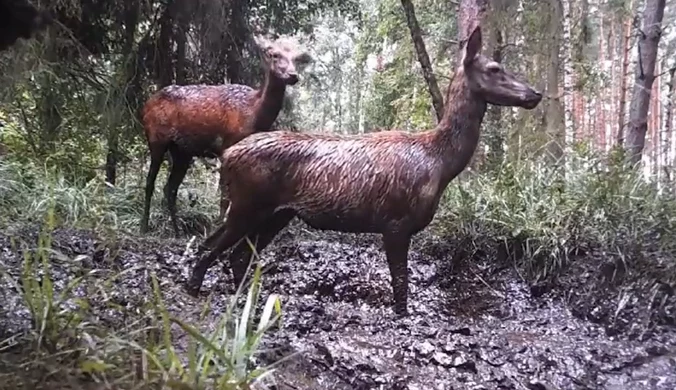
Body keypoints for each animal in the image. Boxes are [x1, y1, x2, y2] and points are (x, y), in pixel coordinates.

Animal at [141, 35, 314, 235]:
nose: (293, 76)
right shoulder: (227, 145)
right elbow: (225, 195)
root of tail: (145, 106)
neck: (253, 114)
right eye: (274, 55)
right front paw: (219, 225)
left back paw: (176, 231)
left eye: (296, 58)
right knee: (150, 182)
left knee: (170, 188)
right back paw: (143, 226)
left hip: (182, 151)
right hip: (156, 138)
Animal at [185, 25, 544, 316]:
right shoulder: (396, 222)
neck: (440, 164)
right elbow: (401, 287)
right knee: (210, 247)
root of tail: (228, 156)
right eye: (495, 68)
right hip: (248, 203)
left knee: (237, 256)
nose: (535, 93)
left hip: (276, 214)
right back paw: (194, 290)